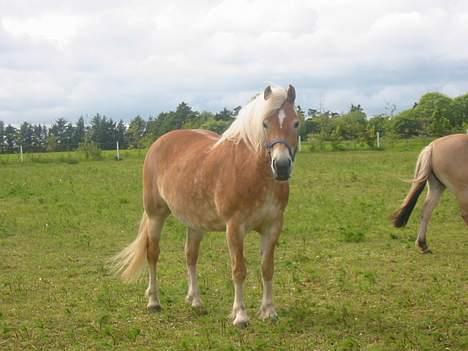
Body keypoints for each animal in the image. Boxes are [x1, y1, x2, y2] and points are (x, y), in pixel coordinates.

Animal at [112, 85, 300, 328]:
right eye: (265, 124)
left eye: (296, 123)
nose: (282, 166)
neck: (253, 173)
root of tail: (158, 143)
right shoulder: (234, 228)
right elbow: (239, 270)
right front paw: (240, 315)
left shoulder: (273, 226)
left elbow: (267, 269)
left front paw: (269, 311)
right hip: (156, 214)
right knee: (152, 253)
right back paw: (154, 301)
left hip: (194, 223)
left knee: (190, 256)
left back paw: (196, 301)